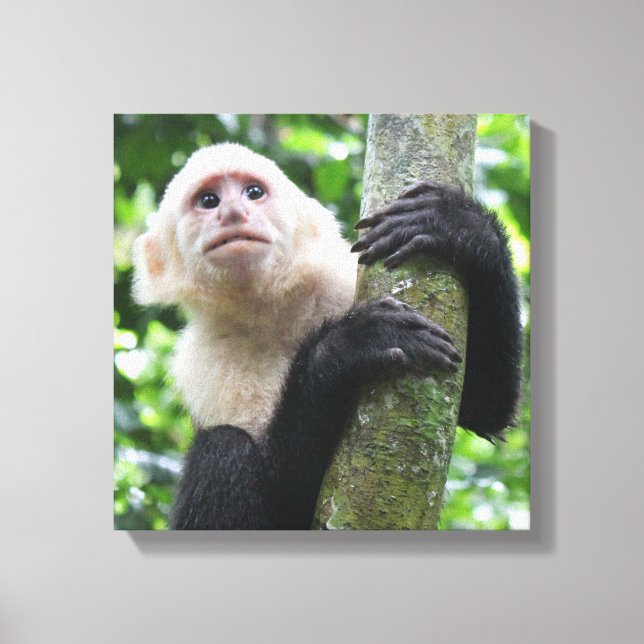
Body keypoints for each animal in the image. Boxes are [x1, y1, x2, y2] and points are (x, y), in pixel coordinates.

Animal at [132, 142, 522, 529]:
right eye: (209, 200)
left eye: (253, 193)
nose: (231, 212)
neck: (277, 312)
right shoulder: (208, 360)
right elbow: (289, 487)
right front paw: (348, 346)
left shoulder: (342, 281)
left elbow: (484, 405)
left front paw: (461, 226)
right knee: (223, 445)